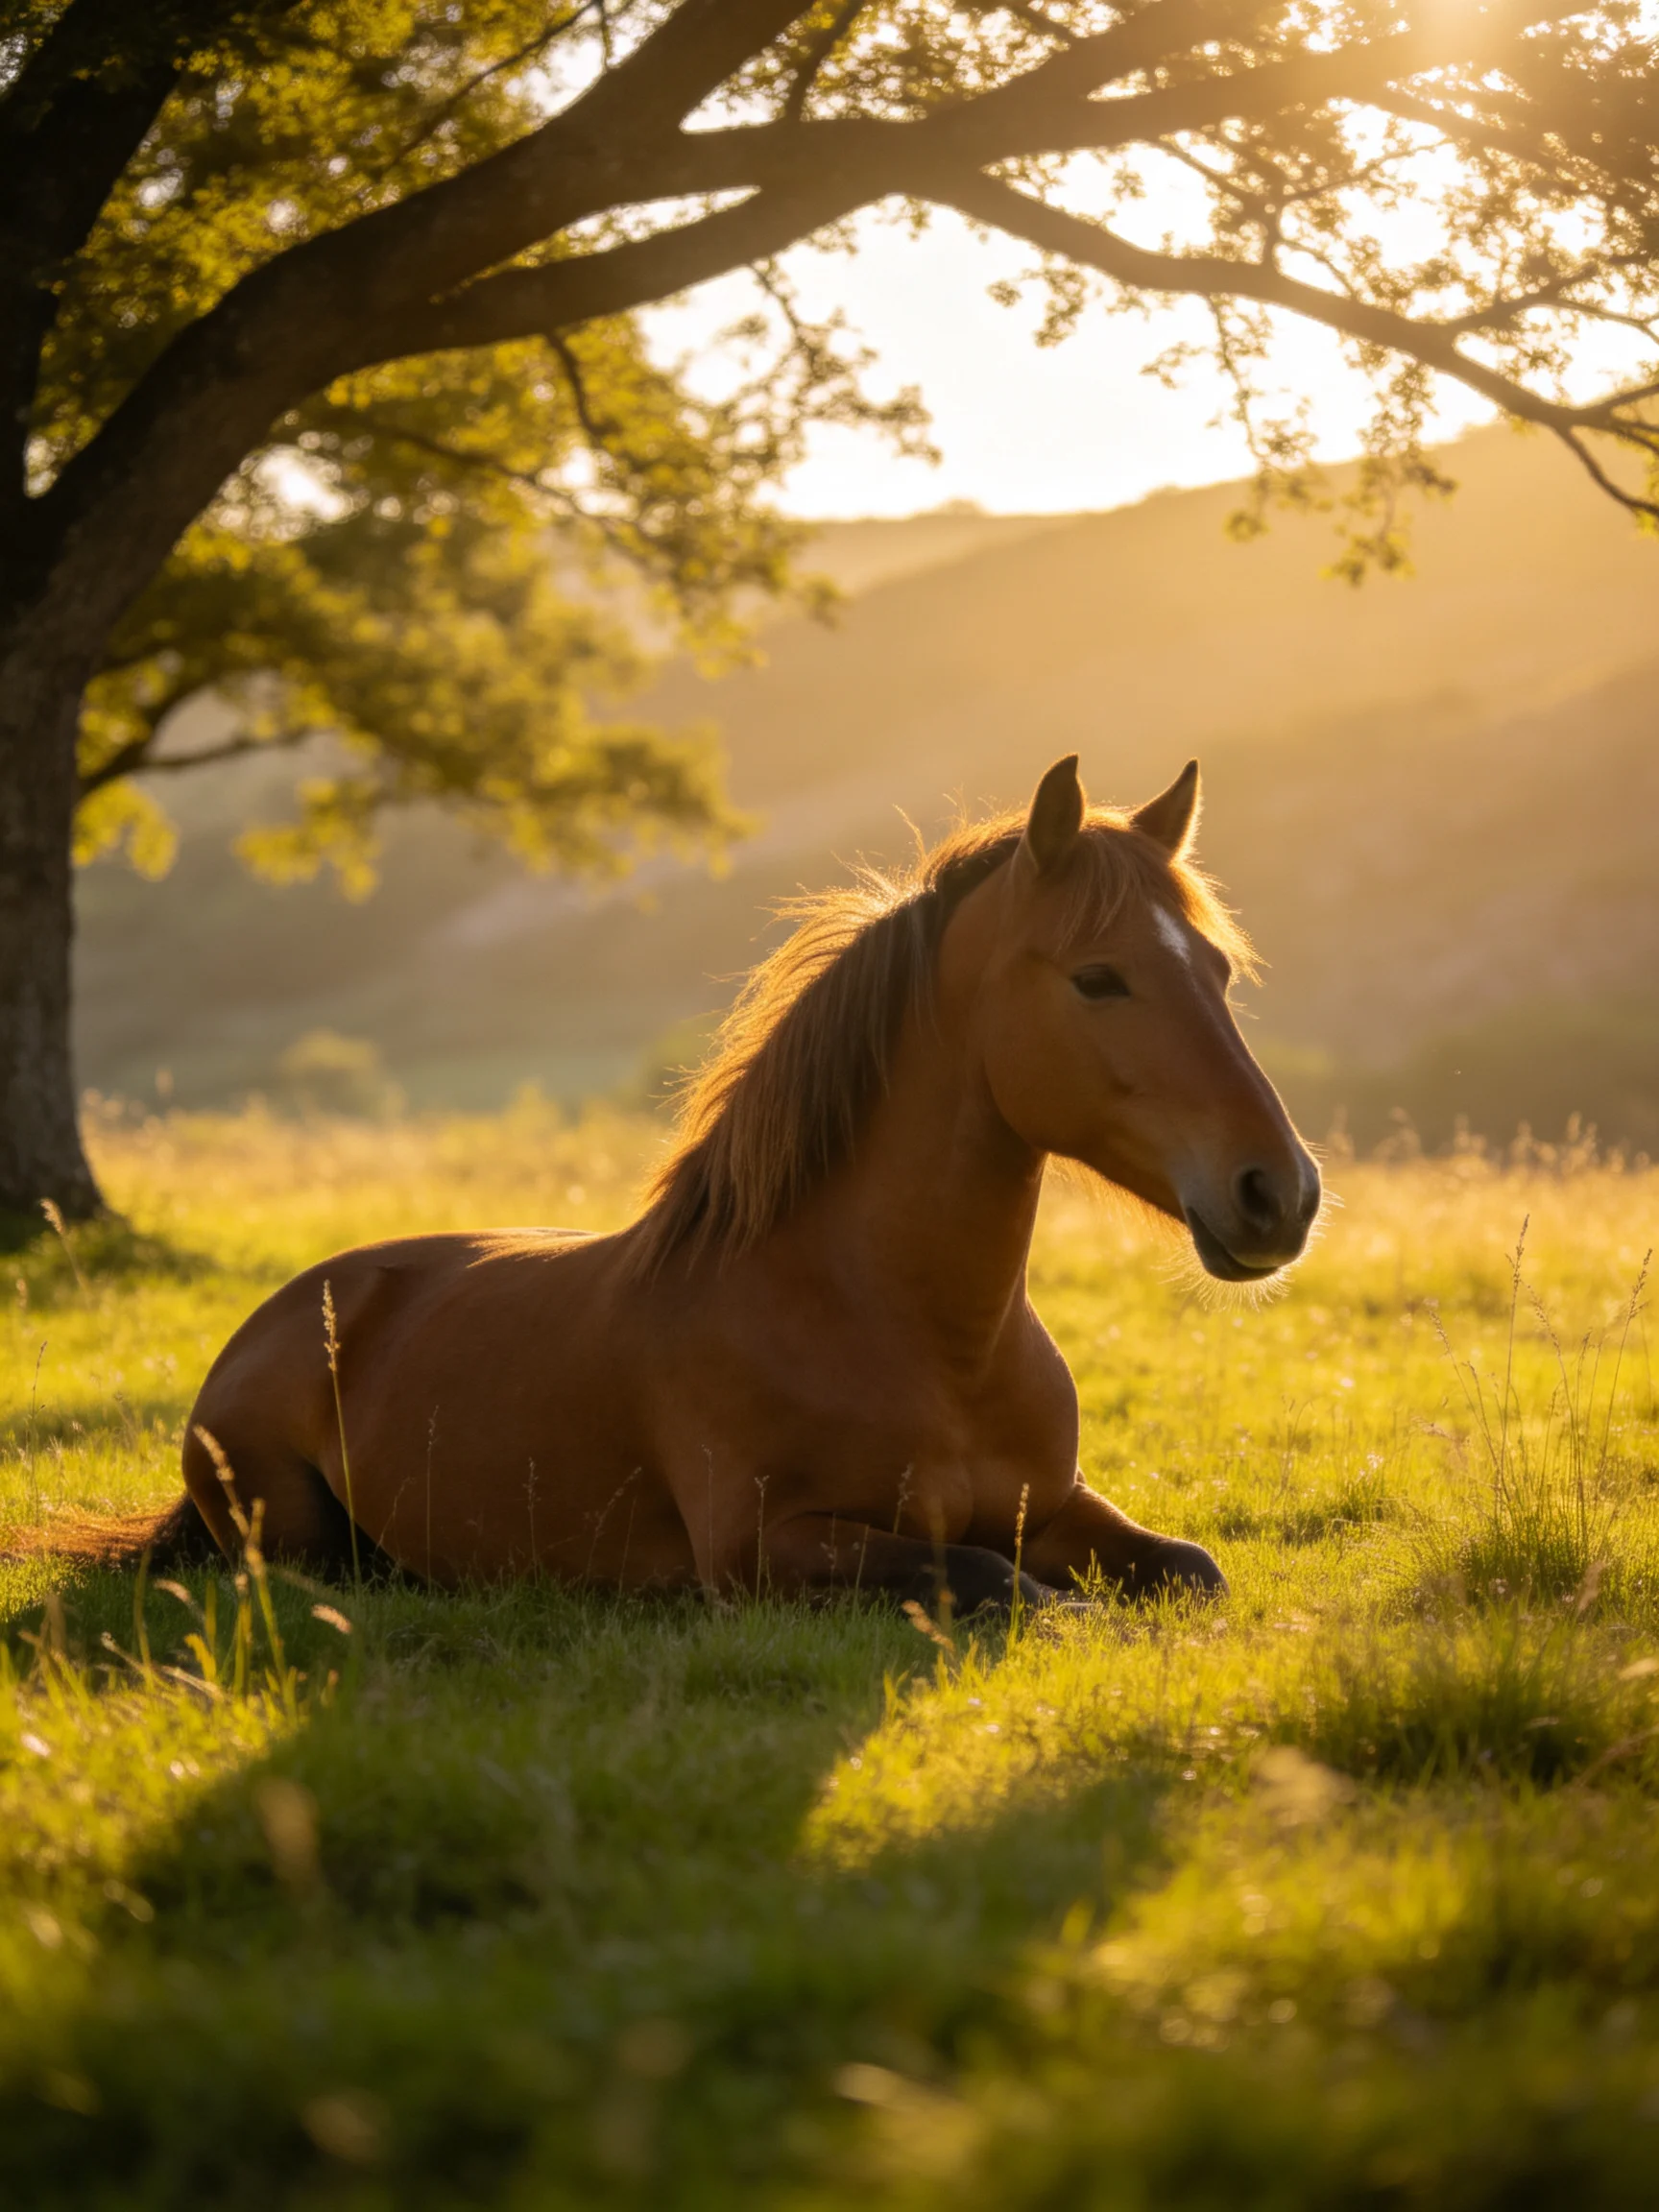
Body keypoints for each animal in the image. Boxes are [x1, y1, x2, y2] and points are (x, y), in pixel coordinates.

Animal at [45, 754, 1321, 1613]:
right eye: (1099, 978)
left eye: (1217, 969)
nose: (1282, 1193)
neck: (912, 1334)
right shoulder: (766, 1551)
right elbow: (1005, 1586)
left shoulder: (1058, 1506)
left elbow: (1193, 1568)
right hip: (289, 1526)